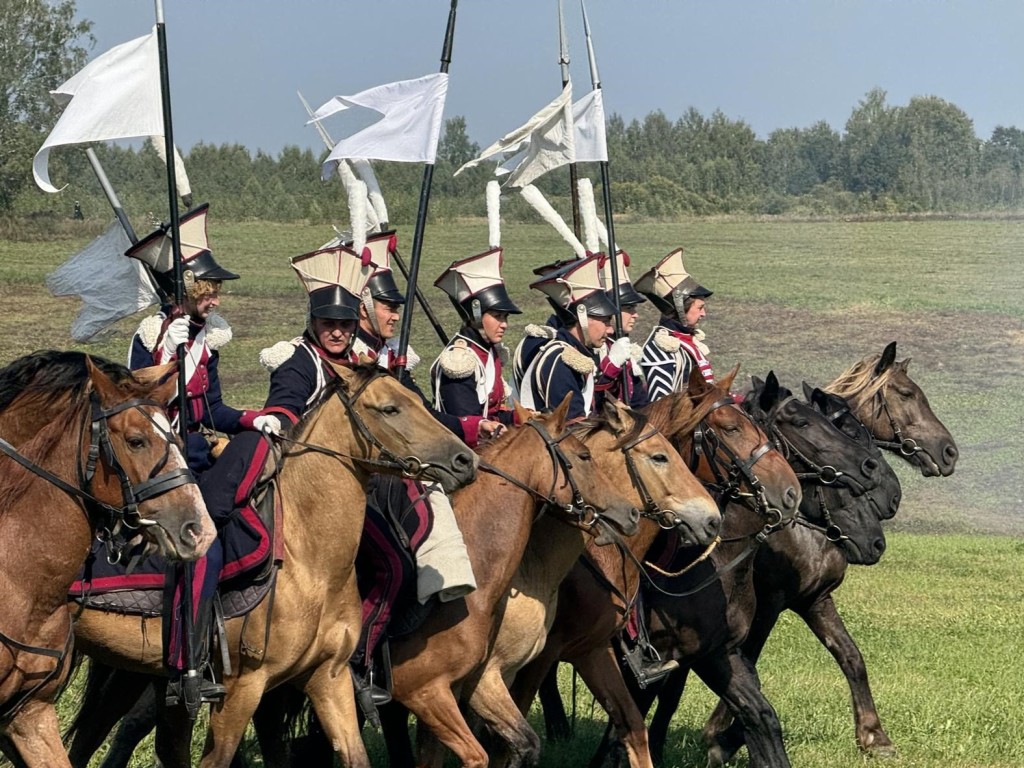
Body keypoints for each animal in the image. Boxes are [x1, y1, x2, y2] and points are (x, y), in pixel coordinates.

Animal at [58, 362, 481, 768]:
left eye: (420, 402)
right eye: (390, 408)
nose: (465, 460)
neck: (307, 561)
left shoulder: (329, 679)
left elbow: (354, 755)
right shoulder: (242, 688)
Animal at [532, 366, 802, 768]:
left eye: (766, 432)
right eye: (730, 428)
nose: (790, 493)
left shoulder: (716, 653)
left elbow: (760, 716)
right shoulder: (648, 664)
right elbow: (621, 734)